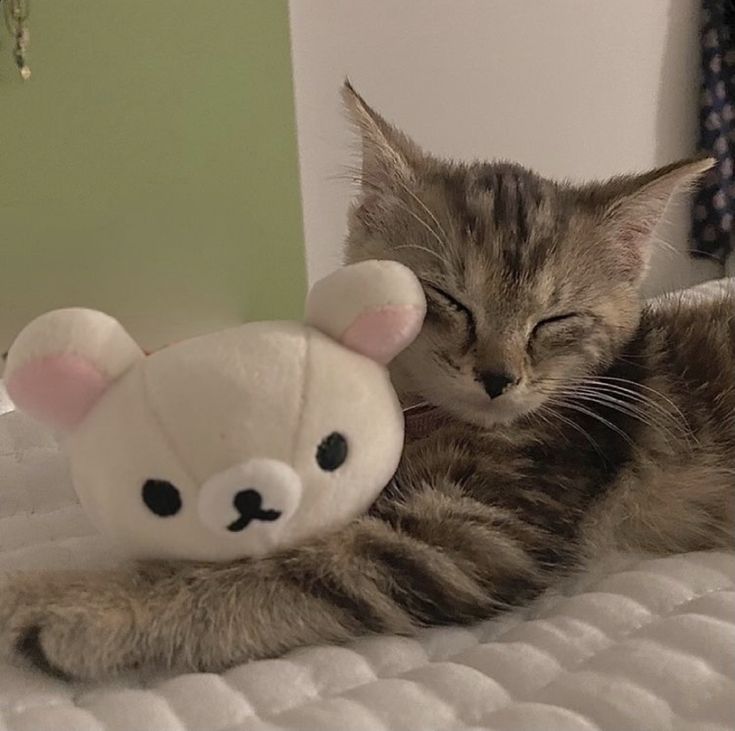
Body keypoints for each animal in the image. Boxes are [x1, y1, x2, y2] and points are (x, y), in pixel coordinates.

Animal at [0, 81, 732, 680]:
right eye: (449, 300)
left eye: (554, 320)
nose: (498, 377)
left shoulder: (467, 541)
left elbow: (285, 570)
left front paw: (81, 602)